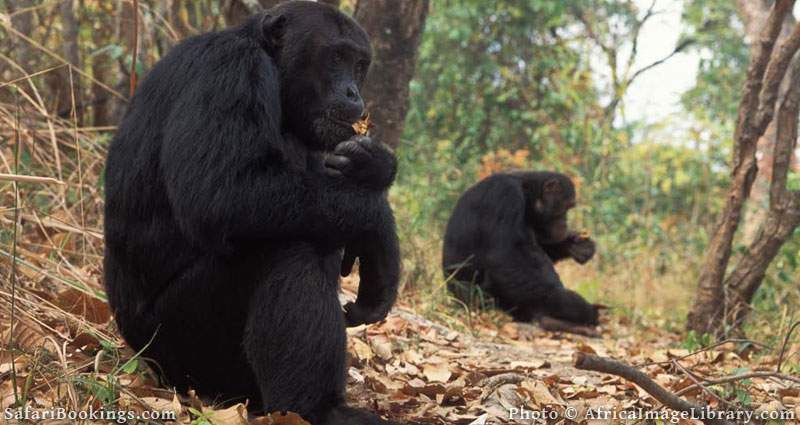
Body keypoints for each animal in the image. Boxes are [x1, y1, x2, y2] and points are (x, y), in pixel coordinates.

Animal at [103, 1, 400, 422]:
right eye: (336, 57)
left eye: (360, 64)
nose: (352, 90)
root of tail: (142, 360)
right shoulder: (230, 71)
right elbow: (223, 194)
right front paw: (380, 230)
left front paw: (374, 166)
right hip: (182, 346)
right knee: (289, 248)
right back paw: (318, 408)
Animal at [444, 171, 600, 326]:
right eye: (565, 208)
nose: (564, 222)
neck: (527, 195)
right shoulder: (505, 196)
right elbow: (507, 260)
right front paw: (577, 308)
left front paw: (578, 246)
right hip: (482, 301)